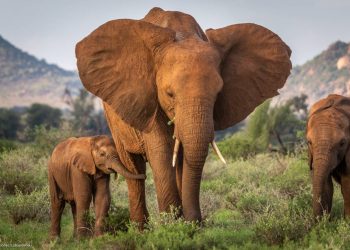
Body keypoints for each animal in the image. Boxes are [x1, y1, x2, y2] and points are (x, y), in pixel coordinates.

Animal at [76, 7, 292, 224]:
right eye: (169, 94)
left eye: (218, 94)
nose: (196, 221)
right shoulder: (150, 98)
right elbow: (161, 151)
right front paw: (172, 224)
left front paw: (186, 224)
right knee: (133, 167)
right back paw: (140, 227)